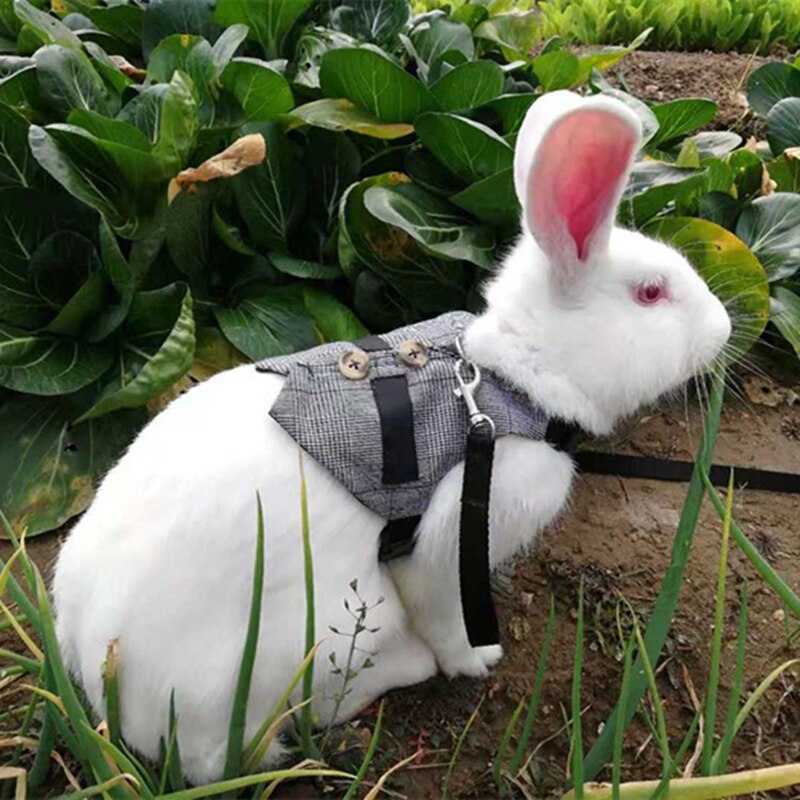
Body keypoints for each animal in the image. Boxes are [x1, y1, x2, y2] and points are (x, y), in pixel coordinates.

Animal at [52, 90, 731, 785]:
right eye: (650, 293)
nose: (725, 329)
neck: (511, 382)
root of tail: (107, 679)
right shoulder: (456, 536)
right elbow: (447, 619)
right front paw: (477, 659)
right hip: (320, 635)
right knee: (242, 749)